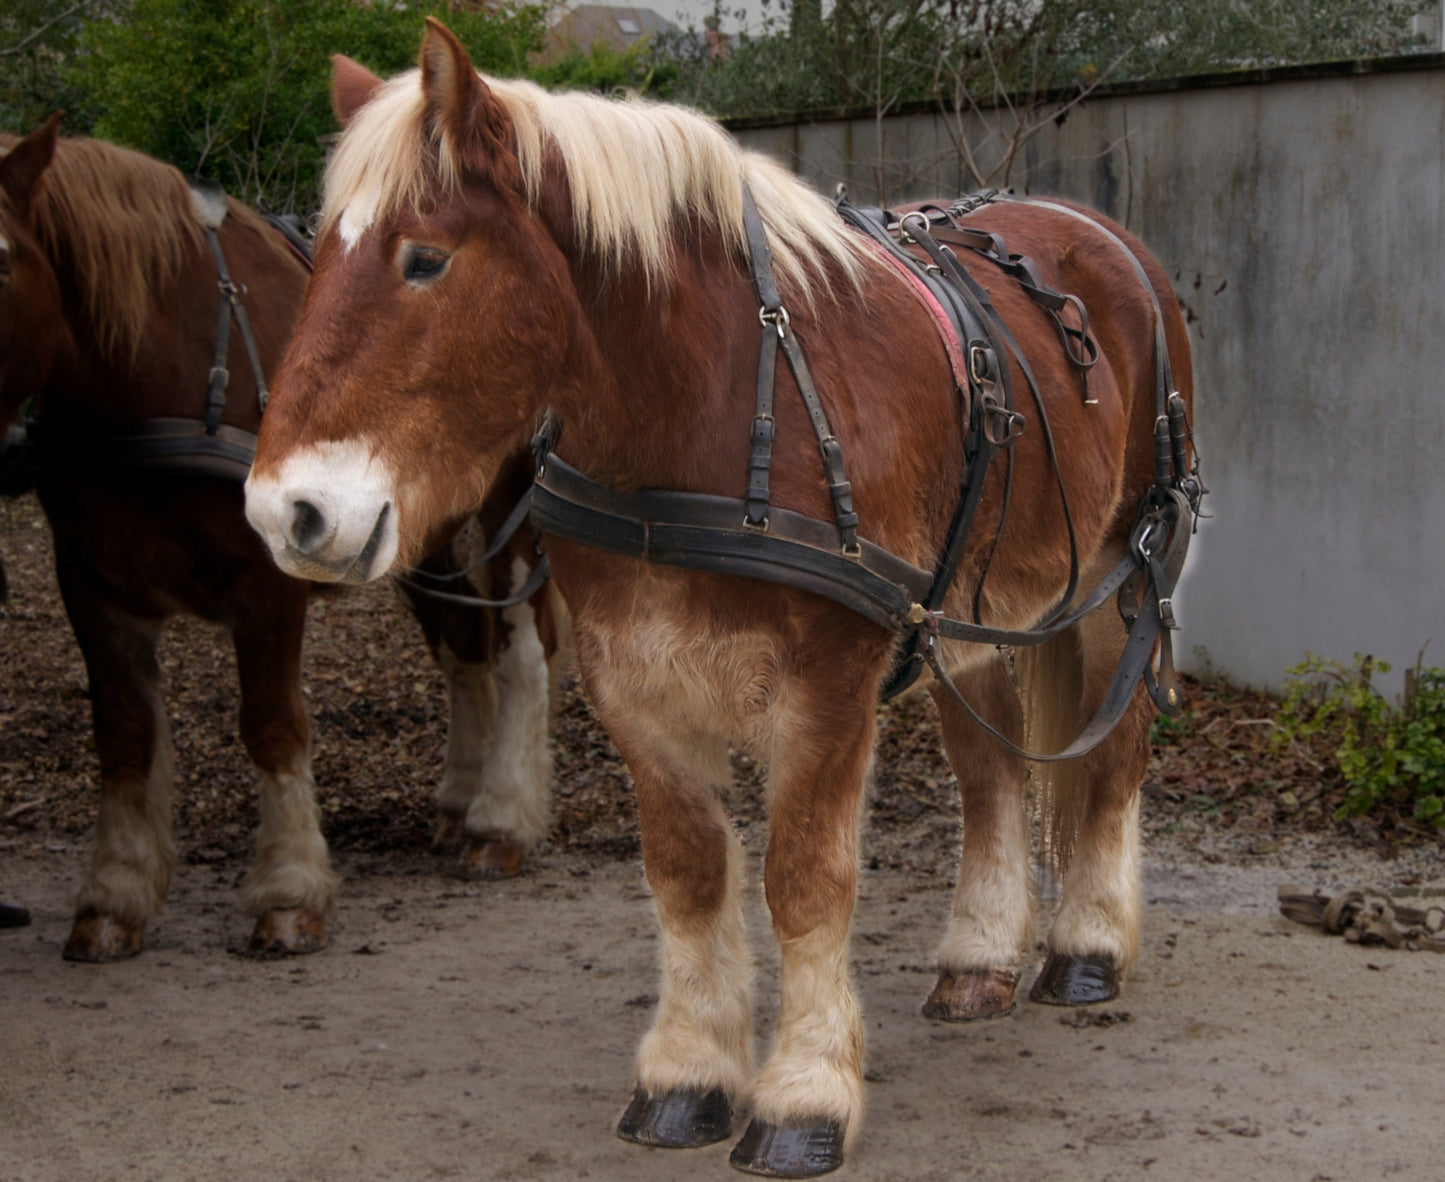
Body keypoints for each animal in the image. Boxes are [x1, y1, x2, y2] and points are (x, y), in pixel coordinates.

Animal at [0, 115, 564, 961]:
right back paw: (460, 799)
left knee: (520, 646)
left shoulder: (266, 580)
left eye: (0, 263)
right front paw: (115, 894)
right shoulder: (93, 585)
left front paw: (289, 891)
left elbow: (271, 726)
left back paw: (500, 818)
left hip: (509, 503)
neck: (164, 364)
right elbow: (124, 736)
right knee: (463, 641)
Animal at [243, 21, 1196, 1176]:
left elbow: (803, 881)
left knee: (1112, 754)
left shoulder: (826, 690)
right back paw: (978, 954)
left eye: (423, 258)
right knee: (990, 774)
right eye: (318, 256)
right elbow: (690, 876)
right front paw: (689, 1074)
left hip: (1119, 585)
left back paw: (1089, 940)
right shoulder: (634, 683)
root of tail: (1102, 237)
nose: (286, 512)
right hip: (966, 623)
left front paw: (803, 1094)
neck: (712, 408)